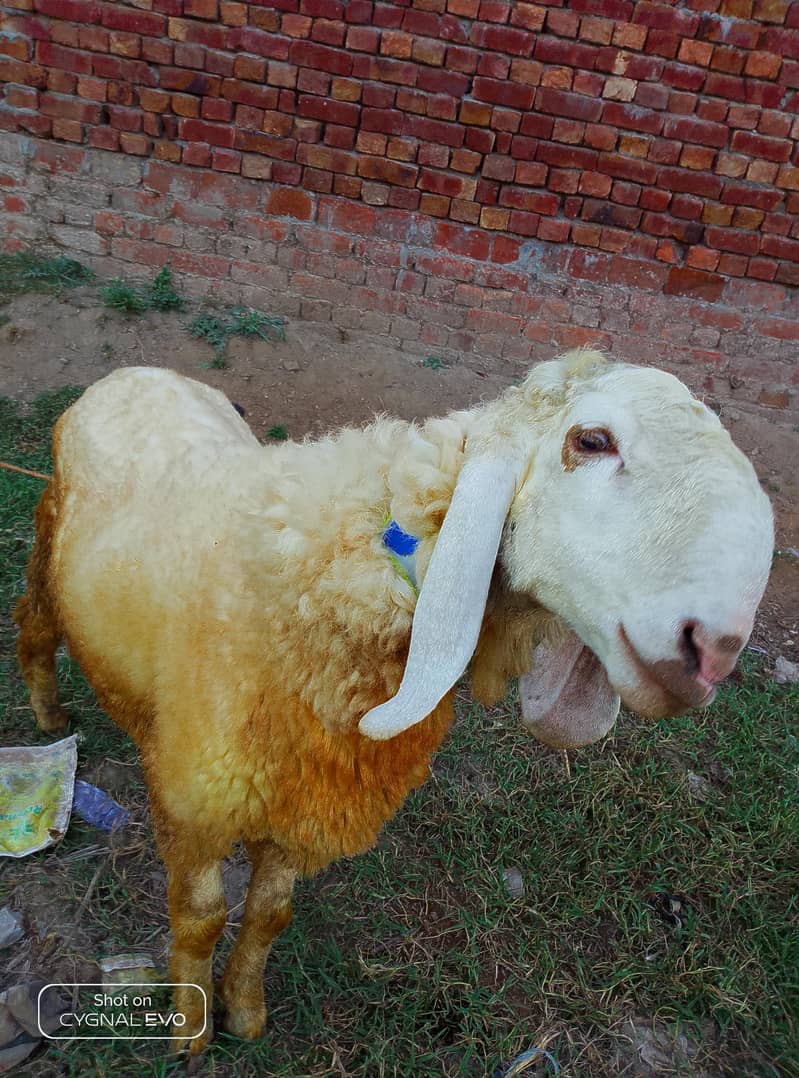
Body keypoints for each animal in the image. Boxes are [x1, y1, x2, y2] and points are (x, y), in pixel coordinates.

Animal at [14, 349, 773, 1054]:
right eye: (591, 440)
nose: (713, 650)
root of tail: (135, 371)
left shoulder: (305, 795)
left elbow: (268, 914)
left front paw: (245, 1010)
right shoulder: (193, 803)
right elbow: (200, 919)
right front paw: (191, 1031)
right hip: (48, 552)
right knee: (33, 631)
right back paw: (49, 715)